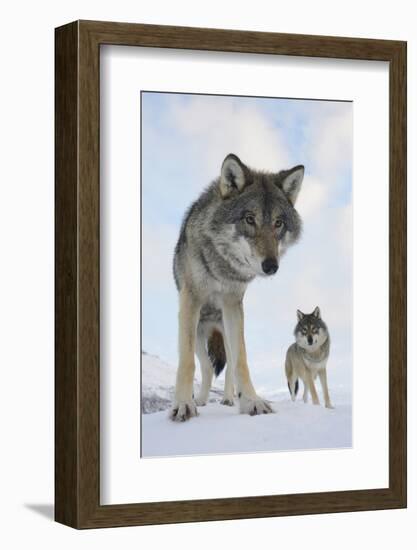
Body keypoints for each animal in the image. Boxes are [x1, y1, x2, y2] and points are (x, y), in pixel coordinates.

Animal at [169, 154, 302, 422]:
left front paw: (251, 401)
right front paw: (183, 404)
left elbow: (241, 361)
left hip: (225, 330)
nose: (271, 266)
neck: (221, 265)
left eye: (278, 223)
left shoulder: (233, 304)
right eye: (250, 219)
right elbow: (186, 362)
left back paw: (230, 399)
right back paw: (200, 400)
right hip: (199, 332)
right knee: (207, 366)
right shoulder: (191, 300)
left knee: (228, 364)